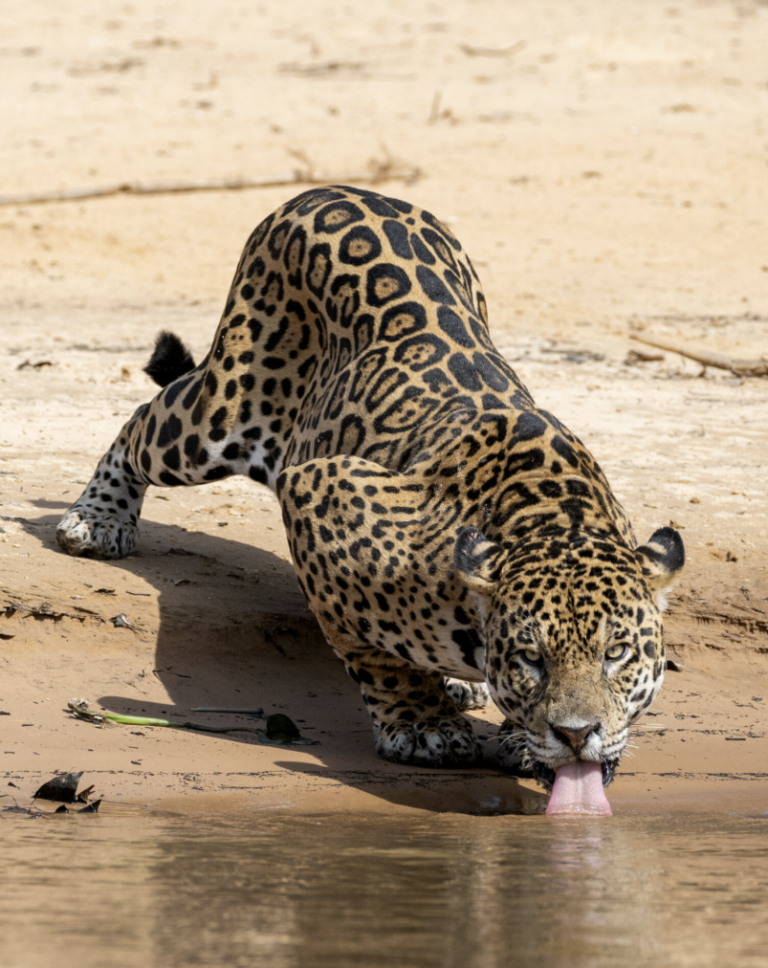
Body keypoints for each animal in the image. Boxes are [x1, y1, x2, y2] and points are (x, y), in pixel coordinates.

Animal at [56, 184, 684, 793]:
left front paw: (516, 736)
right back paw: (95, 521)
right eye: (532, 658)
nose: (576, 734)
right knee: (143, 422)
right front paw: (423, 724)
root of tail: (336, 190)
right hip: (219, 413)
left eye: (616, 653)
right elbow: (373, 652)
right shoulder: (318, 488)